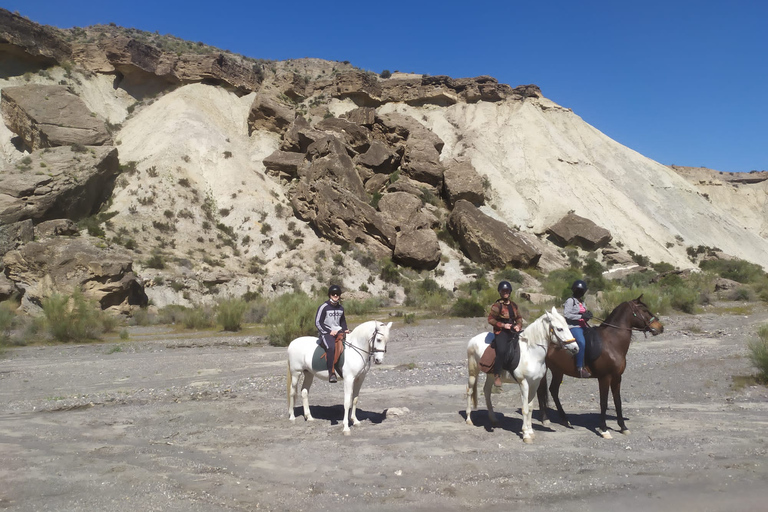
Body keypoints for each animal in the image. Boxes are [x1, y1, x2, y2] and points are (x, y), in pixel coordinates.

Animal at [464, 306, 580, 442]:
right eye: (559, 329)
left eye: (567, 326)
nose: (575, 348)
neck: (531, 353)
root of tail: (473, 339)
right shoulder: (524, 383)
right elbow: (524, 409)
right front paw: (525, 434)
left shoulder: (534, 384)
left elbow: (530, 408)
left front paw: (530, 431)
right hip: (473, 372)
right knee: (469, 391)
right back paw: (469, 419)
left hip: (492, 375)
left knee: (487, 391)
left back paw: (494, 420)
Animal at [536, 298, 664, 438]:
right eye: (644, 310)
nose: (660, 327)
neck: (612, 342)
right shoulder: (604, 378)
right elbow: (604, 402)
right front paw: (604, 429)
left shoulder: (617, 378)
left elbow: (617, 401)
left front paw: (623, 426)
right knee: (540, 391)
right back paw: (545, 419)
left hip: (558, 371)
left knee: (553, 390)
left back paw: (564, 419)